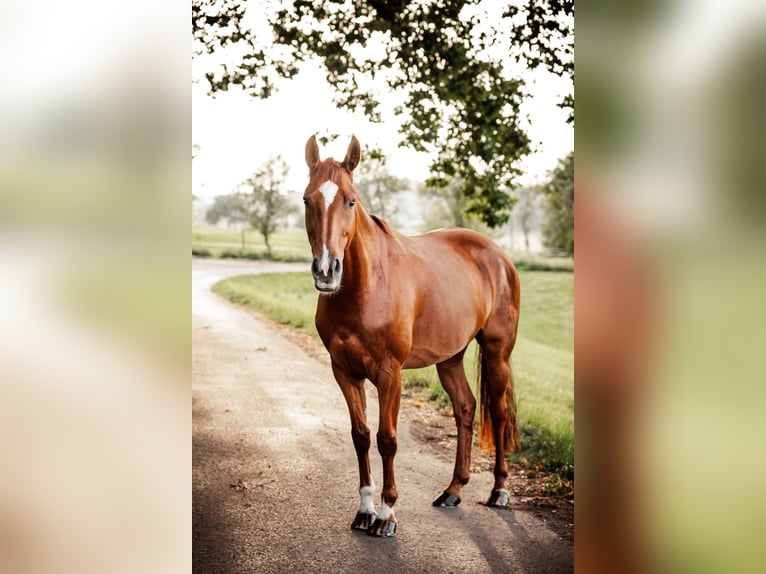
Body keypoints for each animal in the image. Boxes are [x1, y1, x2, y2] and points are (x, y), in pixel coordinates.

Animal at [302, 136, 520, 540]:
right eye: (308, 199)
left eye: (351, 200)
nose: (326, 271)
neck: (366, 287)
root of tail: (499, 257)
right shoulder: (344, 372)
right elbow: (360, 435)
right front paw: (365, 511)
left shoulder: (390, 374)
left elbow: (387, 439)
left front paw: (387, 515)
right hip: (449, 358)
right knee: (465, 408)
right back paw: (453, 491)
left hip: (498, 353)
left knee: (497, 414)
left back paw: (499, 490)